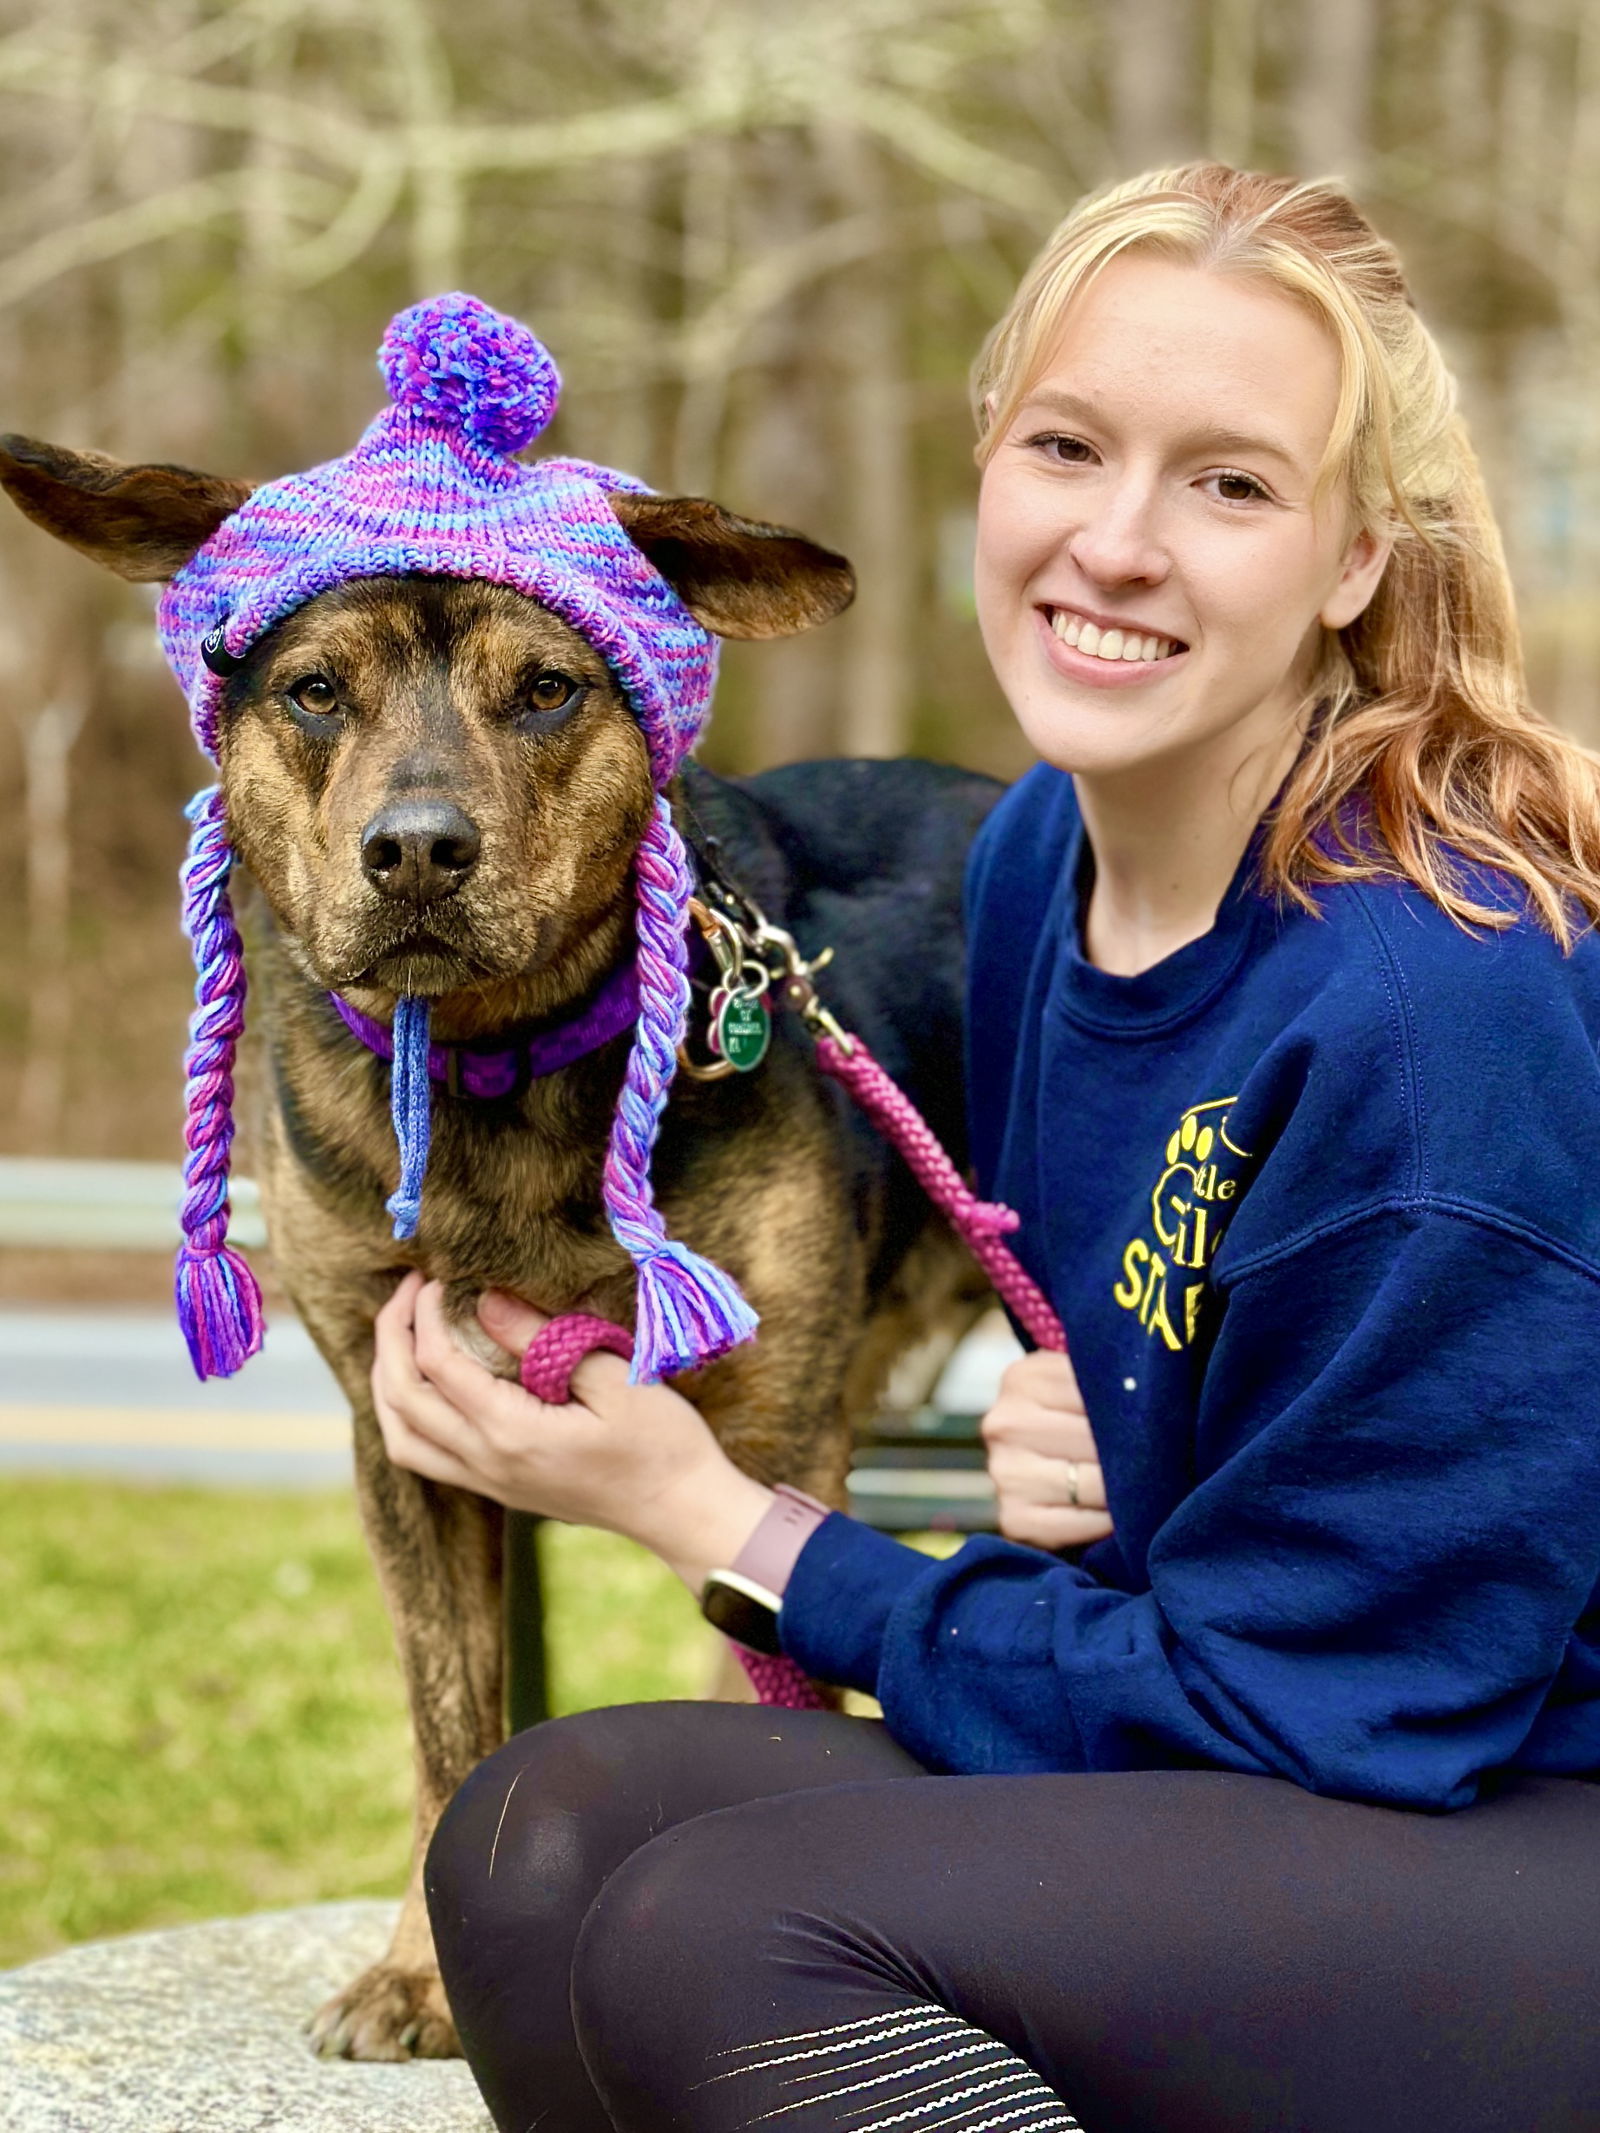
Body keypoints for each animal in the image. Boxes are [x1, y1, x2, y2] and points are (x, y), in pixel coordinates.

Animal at [0, 428, 1002, 2047]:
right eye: (312, 690)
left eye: (547, 690)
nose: (417, 851)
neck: (495, 1069)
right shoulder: (404, 1435)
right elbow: (452, 1728)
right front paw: (423, 1971)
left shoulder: (776, 1438)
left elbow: (780, 1686)